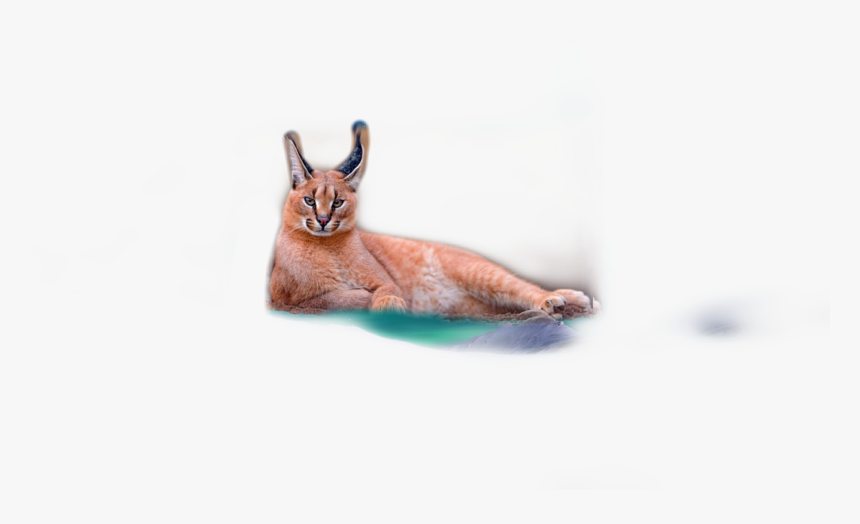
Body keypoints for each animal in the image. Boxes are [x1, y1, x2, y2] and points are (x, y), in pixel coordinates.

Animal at [269, 121, 597, 320]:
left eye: (338, 202)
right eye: (310, 200)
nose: (323, 220)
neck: (327, 246)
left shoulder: (386, 281)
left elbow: (386, 290)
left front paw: (388, 304)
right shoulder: (282, 300)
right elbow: (330, 299)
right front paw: (367, 300)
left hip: (476, 272)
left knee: (520, 286)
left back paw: (559, 299)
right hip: (475, 306)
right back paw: (571, 302)